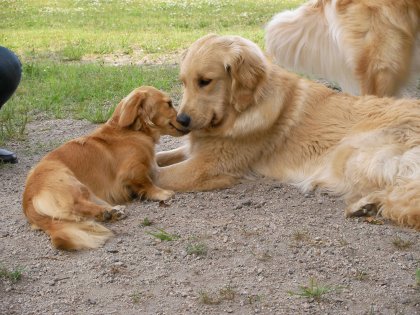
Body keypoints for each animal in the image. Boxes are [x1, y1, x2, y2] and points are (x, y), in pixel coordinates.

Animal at [22, 85, 187, 251]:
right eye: (169, 103)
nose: (185, 120)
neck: (132, 131)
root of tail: (28, 201)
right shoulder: (132, 170)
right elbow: (145, 182)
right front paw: (161, 193)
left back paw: (113, 211)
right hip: (70, 181)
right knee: (76, 206)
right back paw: (108, 212)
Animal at [156, 34, 420, 231]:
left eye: (205, 81)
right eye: (184, 82)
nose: (181, 121)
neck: (244, 109)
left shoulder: (205, 166)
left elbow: (157, 174)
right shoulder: (195, 150)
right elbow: (161, 157)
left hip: (354, 153)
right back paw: (366, 206)